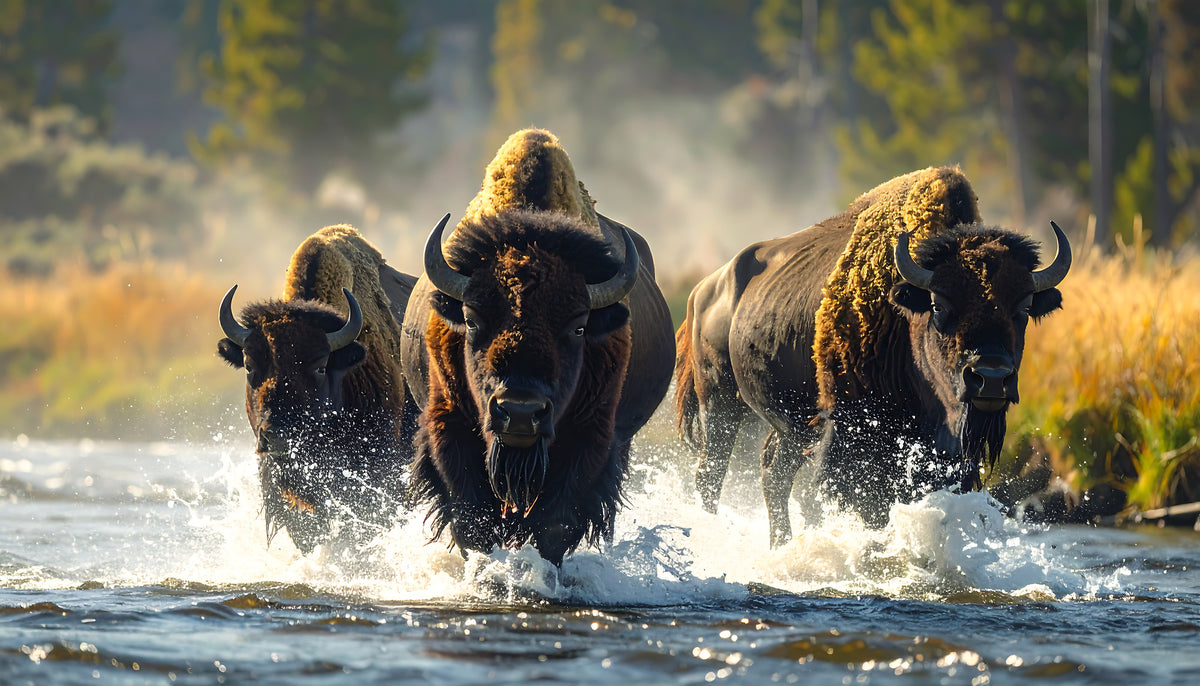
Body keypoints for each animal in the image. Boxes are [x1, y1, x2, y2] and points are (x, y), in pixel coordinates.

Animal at [401, 128, 674, 565]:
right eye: (472, 319)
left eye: (579, 327)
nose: (520, 412)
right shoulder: (449, 427)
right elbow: (470, 519)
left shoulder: (590, 439)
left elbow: (554, 526)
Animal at [674, 167, 1070, 544]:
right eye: (939, 304)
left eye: (1024, 307)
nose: (990, 377)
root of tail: (703, 290)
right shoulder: (856, 441)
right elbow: (869, 506)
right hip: (720, 401)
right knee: (712, 473)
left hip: (793, 424)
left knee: (773, 472)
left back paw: (780, 545)